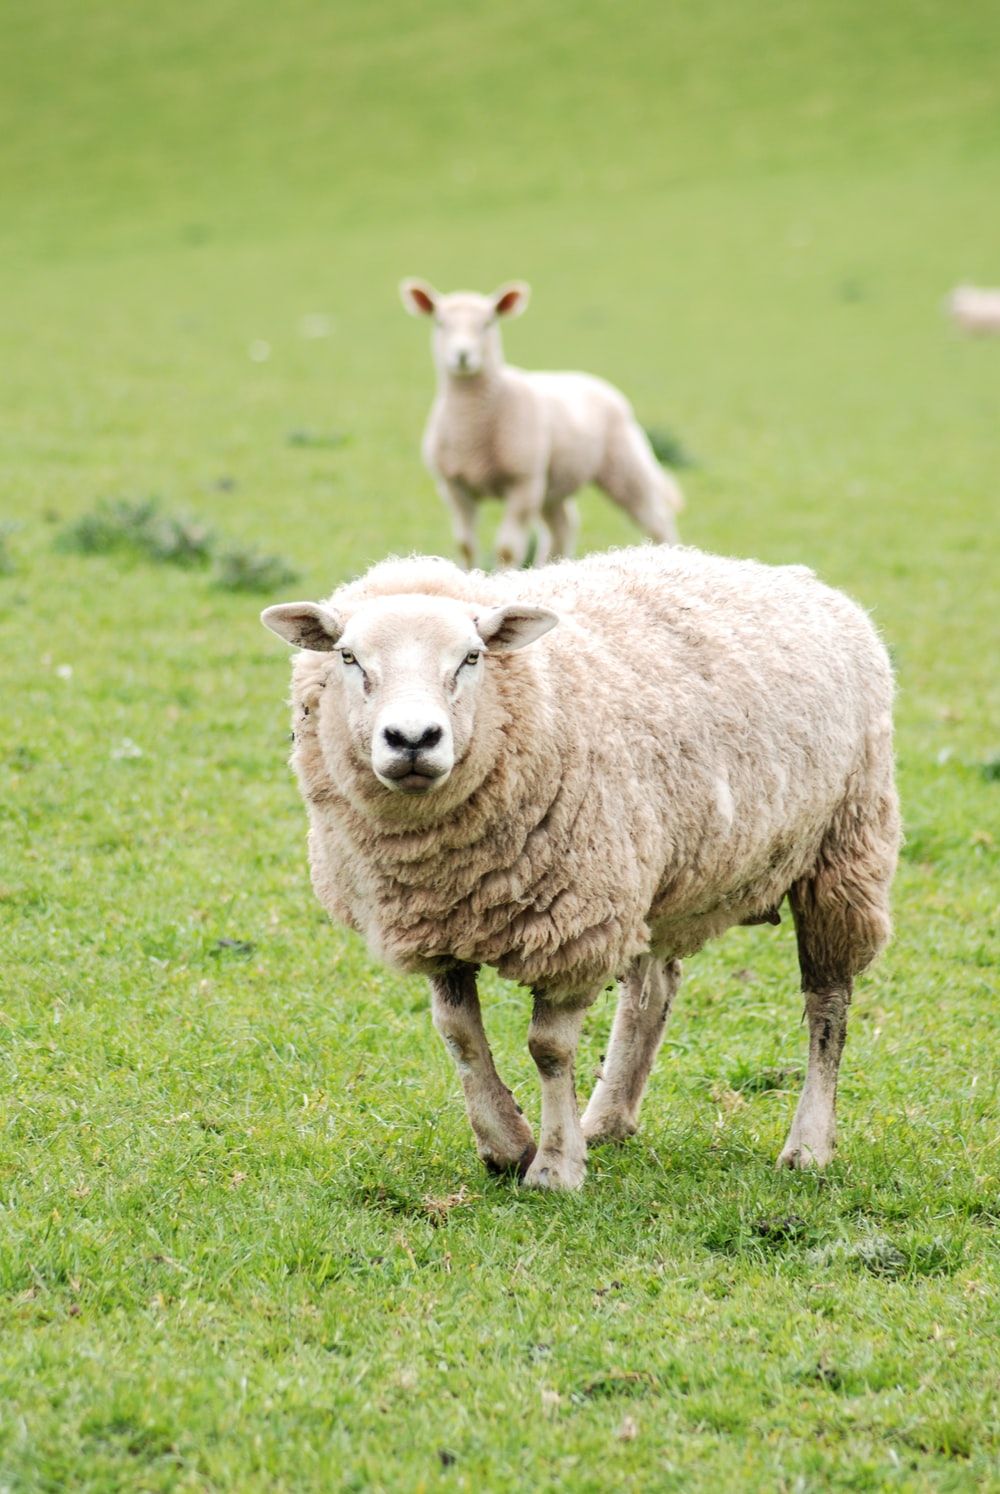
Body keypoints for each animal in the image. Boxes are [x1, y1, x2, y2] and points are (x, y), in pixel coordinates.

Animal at [261, 544, 900, 1191]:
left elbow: (548, 1049)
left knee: (828, 1005)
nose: (413, 738)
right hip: (652, 870)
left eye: (472, 656)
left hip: (842, 849)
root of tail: (798, 578)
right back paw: (609, 1118)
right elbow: (459, 1035)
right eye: (348, 656)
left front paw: (554, 1166)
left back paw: (808, 1144)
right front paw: (505, 1143)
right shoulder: (438, 925)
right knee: (652, 990)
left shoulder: (576, 921)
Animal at [400, 279, 684, 568]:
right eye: (440, 323)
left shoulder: (523, 484)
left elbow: (506, 550)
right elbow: (466, 547)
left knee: (657, 520)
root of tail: (588, 378)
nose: (462, 356)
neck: (474, 421)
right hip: (553, 488)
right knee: (562, 529)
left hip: (625, 468)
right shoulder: (454, 487)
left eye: (488, 323)